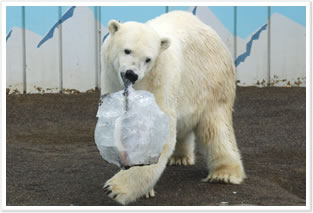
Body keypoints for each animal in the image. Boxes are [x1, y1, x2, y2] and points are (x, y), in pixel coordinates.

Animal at [101, 10, 245, 205]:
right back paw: (180, 157)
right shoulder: (111, 79)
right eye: (127, 50)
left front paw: (115, 188)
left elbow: (154, 130)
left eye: (148, 59)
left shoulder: (158, 79)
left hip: (211, 81)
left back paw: (224, 174)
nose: (132, 74)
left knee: (215, 128)